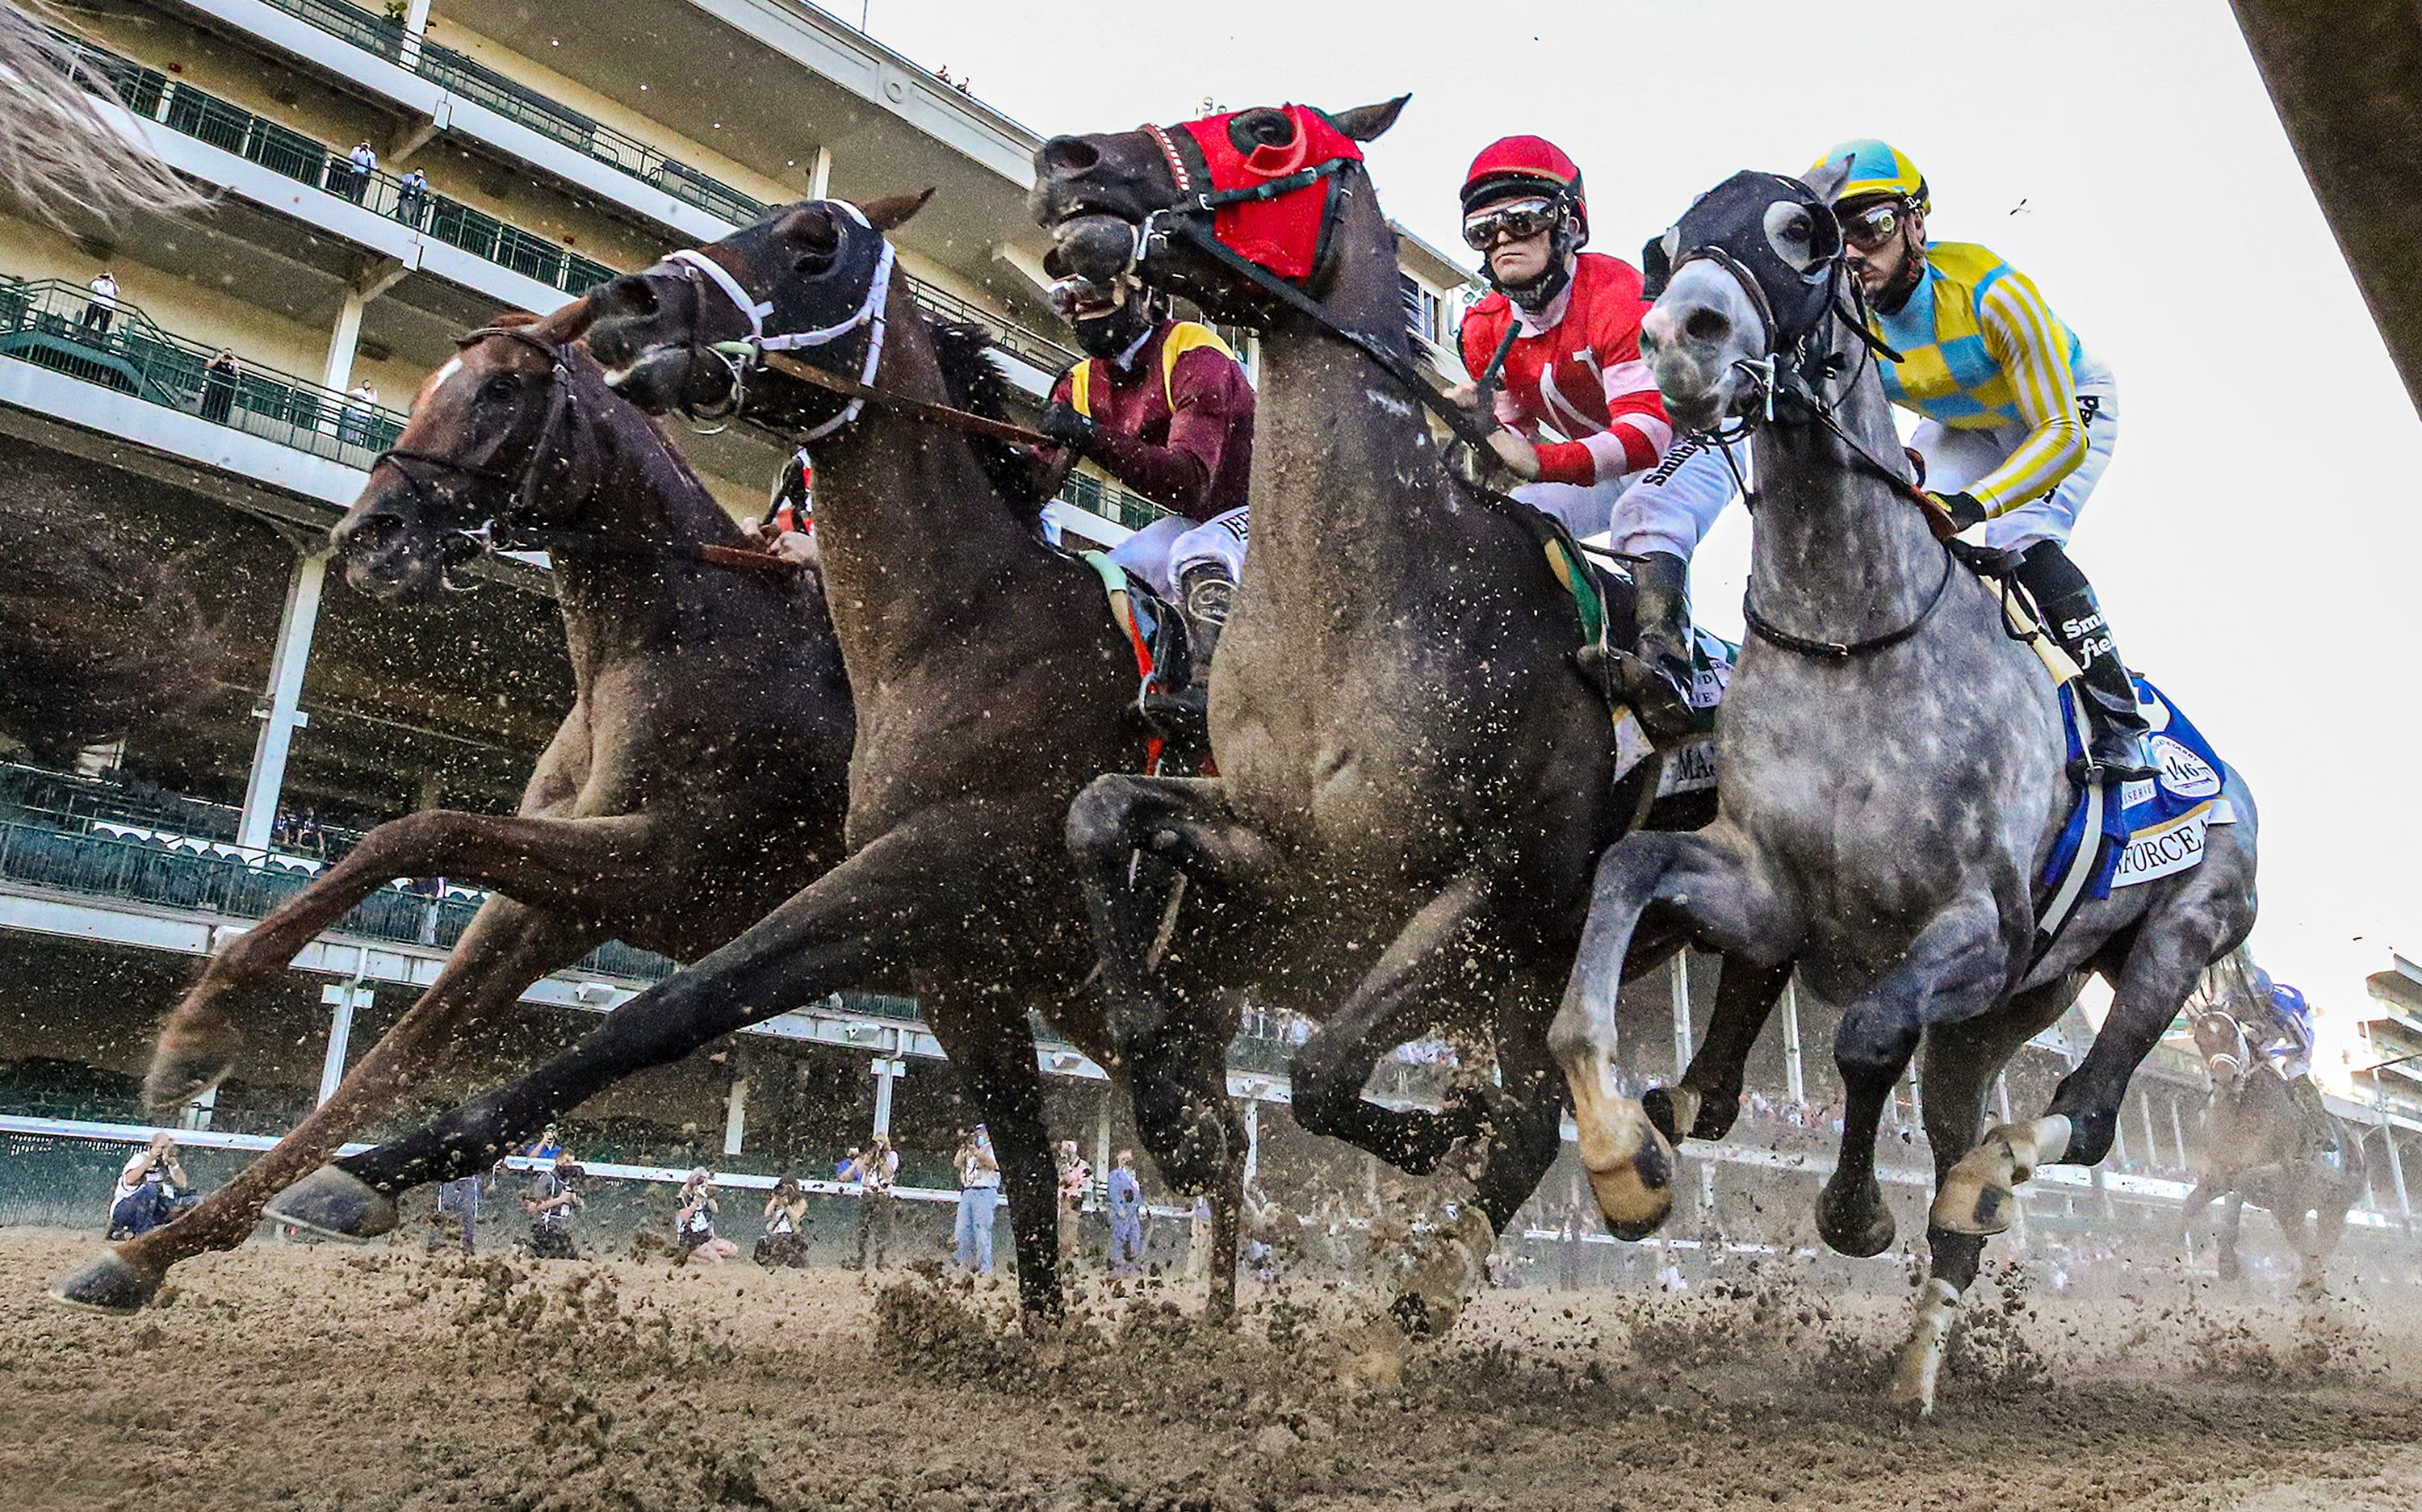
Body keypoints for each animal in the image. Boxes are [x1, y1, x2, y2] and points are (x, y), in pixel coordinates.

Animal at [42, 304, 857, 1308]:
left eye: (501, 388)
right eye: (430, 382)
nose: (369, 535)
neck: (685, 634)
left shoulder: (666, 868)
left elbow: (417, 829)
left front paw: (201, 1029)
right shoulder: (558, 903)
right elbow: (396, 1053)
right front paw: (157, 1243)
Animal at [1032, 100, 1715, 1317]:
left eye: (1266, 130)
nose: (1069, 164)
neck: (1366, 601)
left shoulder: (1493, 889)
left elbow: (1320, 1070)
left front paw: (1439, 1127)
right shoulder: (1284, 849)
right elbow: (1100, 811)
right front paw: (1169, 1100)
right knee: (1534, 1128)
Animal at [1550, 168, 2248, 1414]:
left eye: (1805, 230)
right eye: (1666, 245)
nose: (1681, 336)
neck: (1852, 634)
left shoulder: (1975, 922)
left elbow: (1869, 1034)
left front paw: (1853, 1210)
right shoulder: (1767, 887)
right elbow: (1627, 874)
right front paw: (1625, 1154)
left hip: (2177, 937)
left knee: (2089, 1113)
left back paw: (1990, 1179)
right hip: (2000, 1014)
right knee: (1971, 1145)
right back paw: (1919, 1358)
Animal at [2180, 949, 2364, 1279]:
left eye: (2232, 1035)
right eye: (2201, 1040)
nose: (2225, 1079)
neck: (2242, 1114)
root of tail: (2357, 1145)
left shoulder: (2276, 1173)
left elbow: (2240, 1188)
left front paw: (2228, 1262)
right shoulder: (2216, 1175)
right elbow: (2186, 1213)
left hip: (2334, 1207)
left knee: (2319, 1250)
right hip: (2300, 1208)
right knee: (2308, 1252)